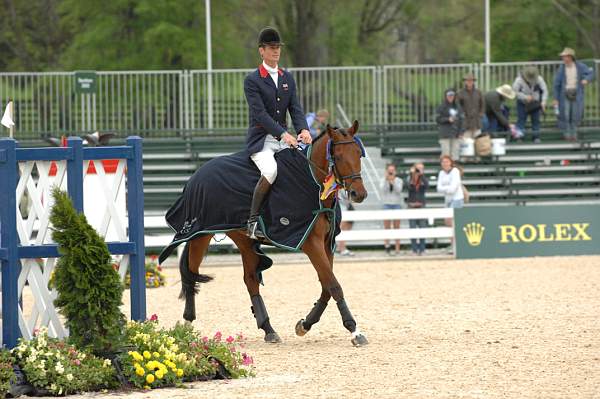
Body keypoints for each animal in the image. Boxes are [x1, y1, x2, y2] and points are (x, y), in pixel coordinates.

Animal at [176, 121, 368, 346]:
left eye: (358, 154)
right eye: (337, 156)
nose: (359, 194)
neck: (312, 182)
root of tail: (197, 173)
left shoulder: (326, 243)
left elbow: (326, 286)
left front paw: (305, 324)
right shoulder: (311, 243)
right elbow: (334, 285)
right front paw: (354, 331)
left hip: (243, 240)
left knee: (250, 279)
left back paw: (268, 329)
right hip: (200, 235)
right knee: (190, 275)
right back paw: (186, 326)